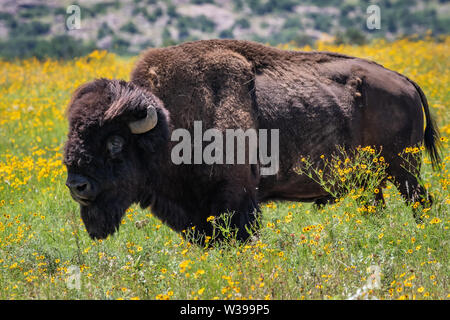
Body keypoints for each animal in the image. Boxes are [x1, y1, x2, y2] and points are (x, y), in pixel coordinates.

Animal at [65, 38, 442, 241]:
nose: (77, 185)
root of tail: (404, 81)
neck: (170, 122)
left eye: (115, 142)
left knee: (420, 202)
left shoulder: (237, 197)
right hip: (372, 178)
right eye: (73, 133)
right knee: (377, 205)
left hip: (404, 170)